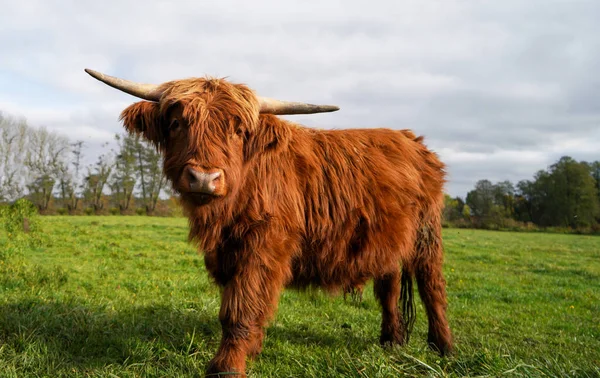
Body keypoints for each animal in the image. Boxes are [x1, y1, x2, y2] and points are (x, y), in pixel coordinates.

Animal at [84, 69, 450, 376]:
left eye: (238, 130)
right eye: (177, 124)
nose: (203, 178)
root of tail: (412, 139)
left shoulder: (264, 247)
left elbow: (240, 308)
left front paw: (227, 367)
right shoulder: (227, 252)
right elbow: (241, 304)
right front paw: (251, 348)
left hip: (427, 232)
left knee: (431, 285)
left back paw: (442, 347)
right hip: (387, 241)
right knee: (388, 287)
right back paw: (391, 340)